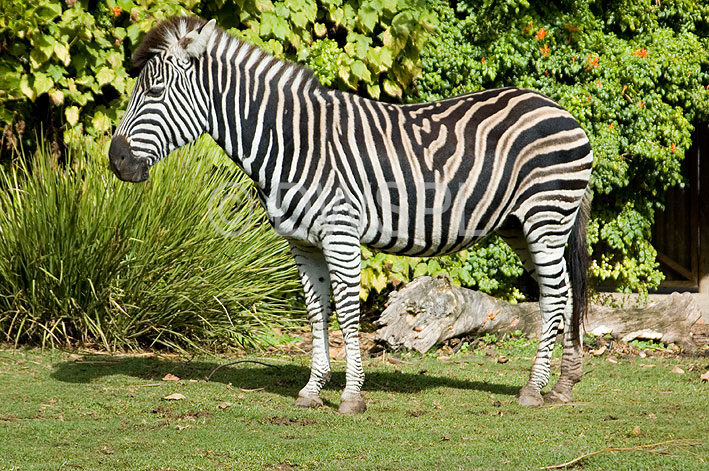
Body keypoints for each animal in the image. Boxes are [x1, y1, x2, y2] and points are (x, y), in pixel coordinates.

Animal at [110, 15, 592, 412]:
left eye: (153, 91)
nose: (116, 161)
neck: (291, 140)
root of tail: (561, 109)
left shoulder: (340, 233)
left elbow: (344, 309)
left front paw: (351, 395)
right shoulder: (302, 243)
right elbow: (315, 310)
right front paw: (312, 389)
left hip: (545, 218)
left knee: (555, 296)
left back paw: (534, 388)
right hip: (520, 226)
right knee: (564, 293)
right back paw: (564, 385)